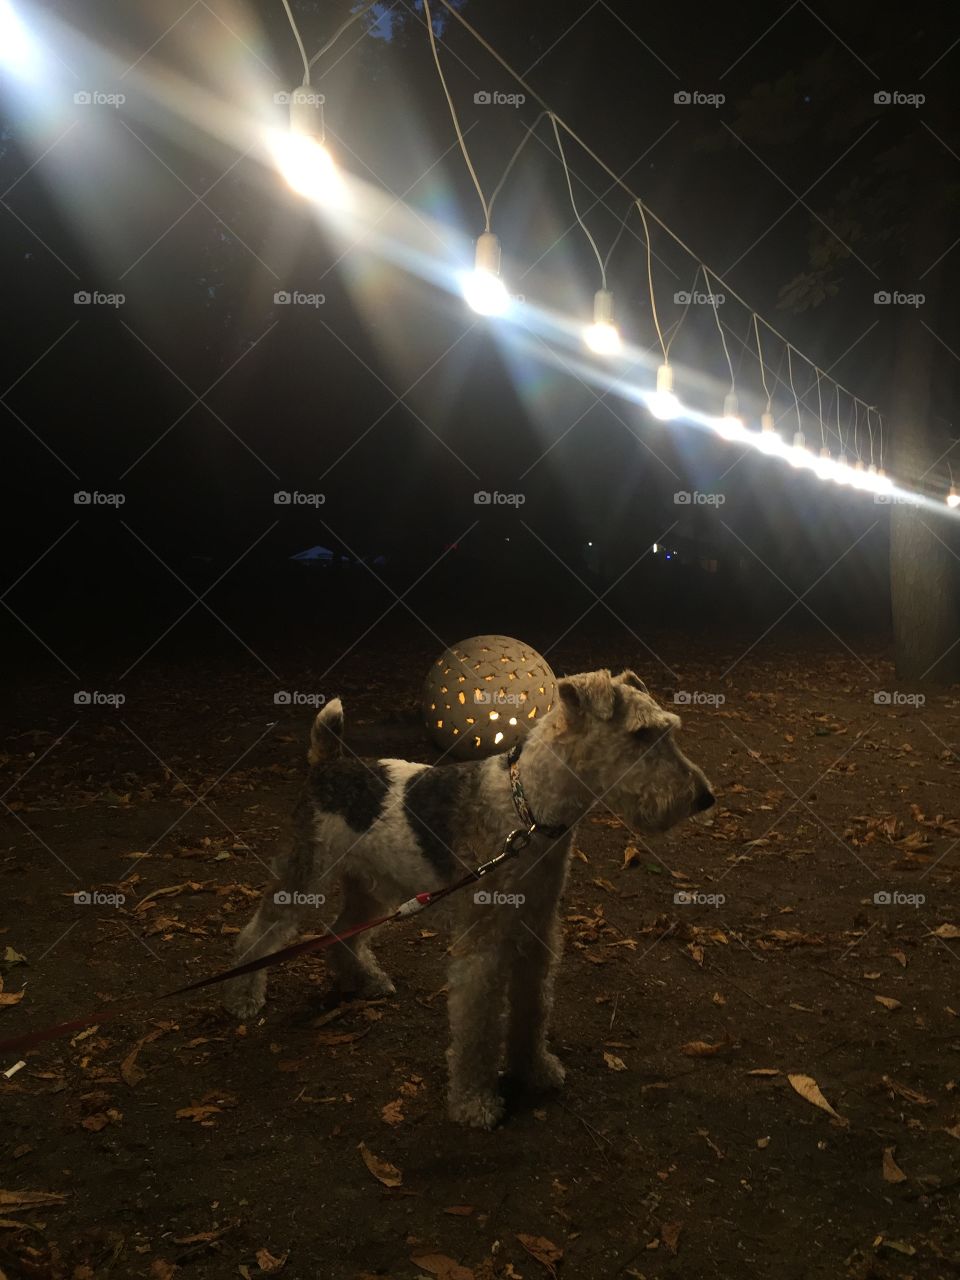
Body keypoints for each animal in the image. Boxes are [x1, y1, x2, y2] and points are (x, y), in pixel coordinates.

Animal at [227, 670, 716, 1131]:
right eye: (641, 734)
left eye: (669, 730)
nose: (704, 798)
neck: (530, 808)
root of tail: (327, 763)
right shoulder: (484, 948)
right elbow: (477, 1031)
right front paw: (475, 1104)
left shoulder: (537, 934)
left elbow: (532, 1011)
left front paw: (536, 1070)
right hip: (304, 874)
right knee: (256, 935)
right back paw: (243, 998)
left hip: (372, 884)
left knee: (339, 931)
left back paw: (367, 980)